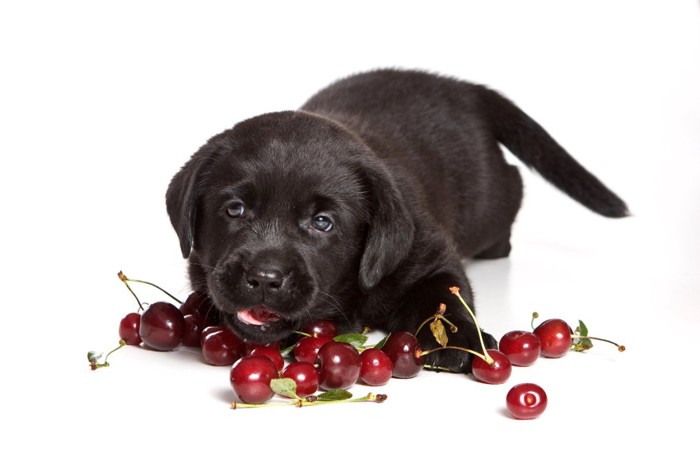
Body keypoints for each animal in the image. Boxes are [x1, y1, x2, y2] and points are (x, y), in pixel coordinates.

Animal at [165, 69, 628, 374]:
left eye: (322, 222)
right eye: (234, 210)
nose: (264, 278)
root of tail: (464, 88)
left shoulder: (427, 252)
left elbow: (445, 292)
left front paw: (458, 339)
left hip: (488, 200)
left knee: (513, 185)